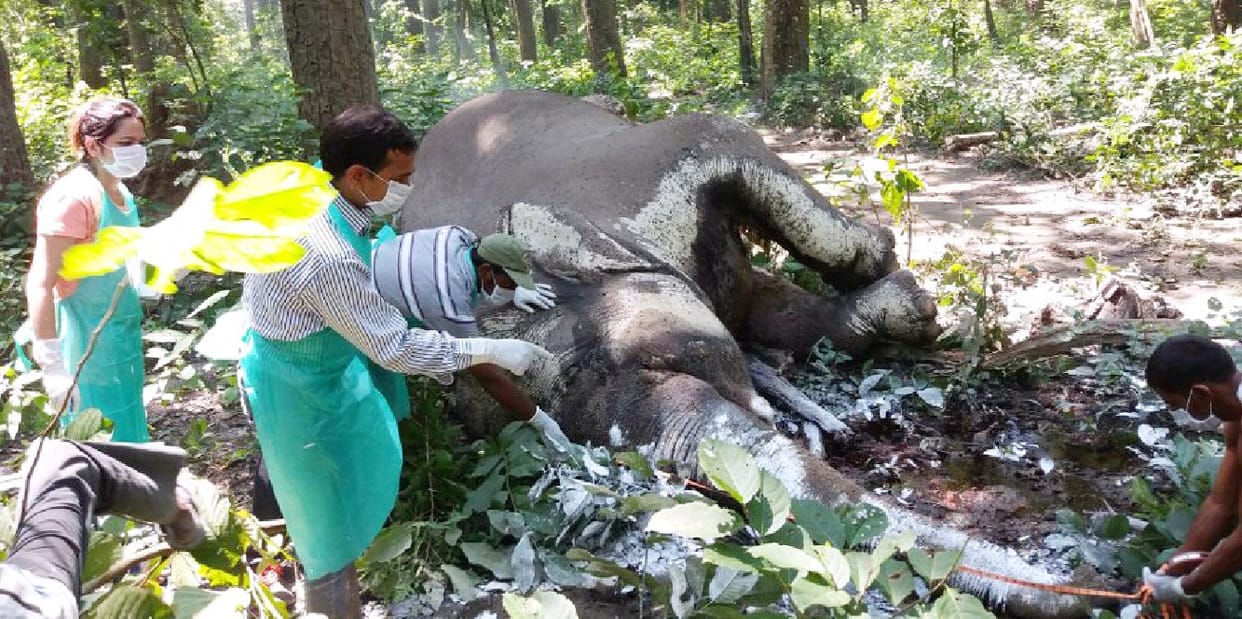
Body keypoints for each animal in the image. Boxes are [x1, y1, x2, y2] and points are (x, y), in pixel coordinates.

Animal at [398, 90, 1090, 618]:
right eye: (555, 413)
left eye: (626, 359)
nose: (1076, 595)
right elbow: (771, 308)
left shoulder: (667, 158)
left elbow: (743, 158)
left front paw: (896, 279)